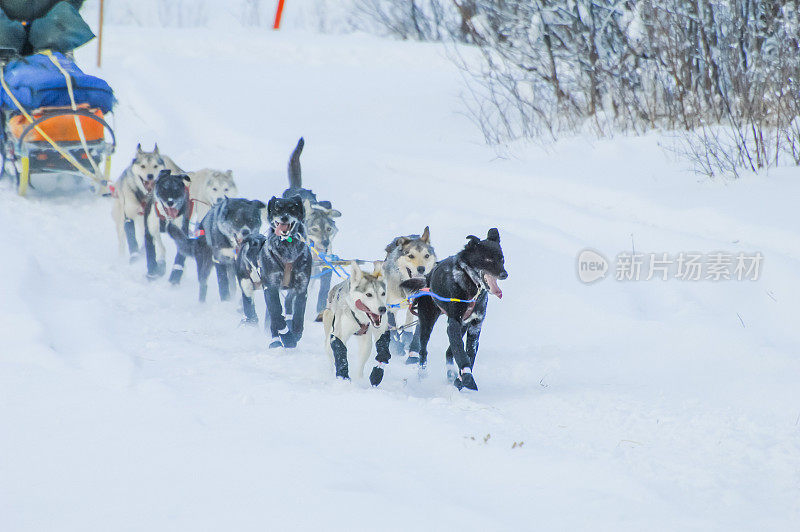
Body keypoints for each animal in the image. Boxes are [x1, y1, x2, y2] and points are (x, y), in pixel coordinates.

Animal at [262, 195, 312, 350]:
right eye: (277, 208)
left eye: (292, 208)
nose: (284, 217)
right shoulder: (270, 287)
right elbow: (277, 315)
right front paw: (287, 338)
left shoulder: (302, 287)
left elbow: (299, 314)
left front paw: (296, 333)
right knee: (274, 316)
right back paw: (276, 340)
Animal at [280, 137, 340, 320]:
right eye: (314, 229)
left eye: (329, 229)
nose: (326, 244)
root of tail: (297, 188)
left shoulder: (326, 266)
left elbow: (324, 288)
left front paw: (321, 305)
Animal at [382, 227, 438, 364]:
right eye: (411, 256)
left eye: (426, 255)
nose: (421, 268)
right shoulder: (390, 305)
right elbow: (393, 328)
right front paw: (397, 347)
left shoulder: (423, 310)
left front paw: (413, 354)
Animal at [416, 228, 510, 390]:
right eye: (488, 259)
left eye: (501, 259)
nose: (504, 274)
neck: (472, 287)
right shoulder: (453, 322)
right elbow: (460, 351)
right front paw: (467, 377)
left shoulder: (475, 326)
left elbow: (470, 353)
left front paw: (460, 379)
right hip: (427, 321)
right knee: (423, 349)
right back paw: (421, 373)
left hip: (463, 327)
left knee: (448, 352)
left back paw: (451, 374)